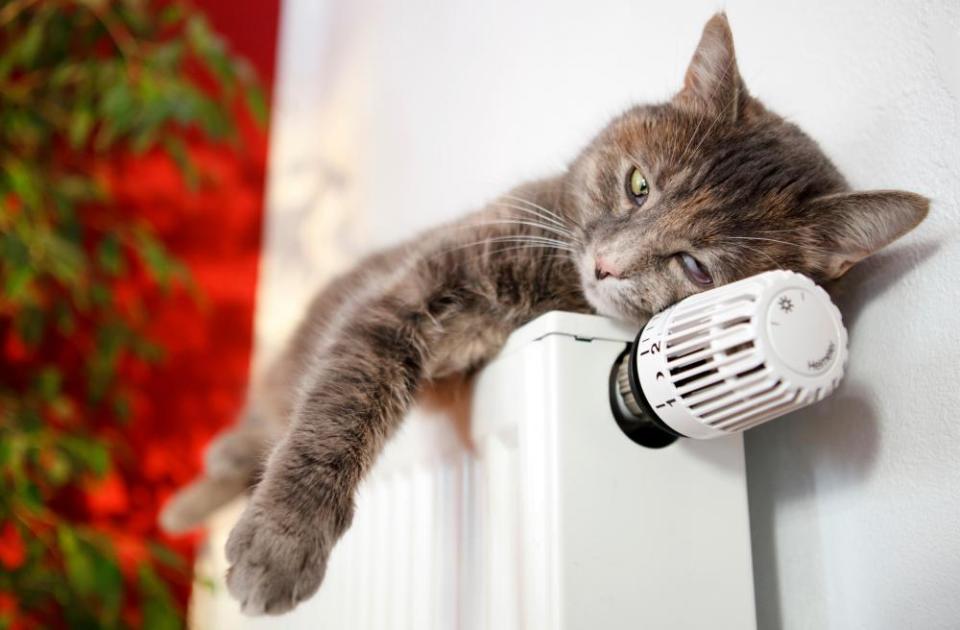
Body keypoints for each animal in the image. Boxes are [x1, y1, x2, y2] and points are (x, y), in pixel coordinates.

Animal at [161, 12, 928, 616]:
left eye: (697, 268)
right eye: (638, 184)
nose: (608, 265)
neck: (550, 286)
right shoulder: (407, 294)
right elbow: (337, 412)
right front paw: (282, 543)